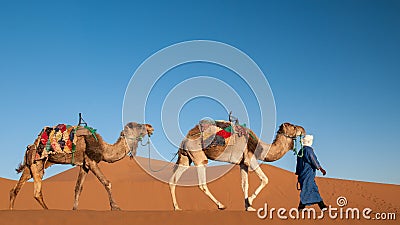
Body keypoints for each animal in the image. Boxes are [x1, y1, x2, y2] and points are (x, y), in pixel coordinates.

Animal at [9, 122, 154, 210]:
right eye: (139, 126)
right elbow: (107, 182)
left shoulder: (84, 165)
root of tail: (30, 146)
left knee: (15, 189)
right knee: (37, 192)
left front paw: (74, 209)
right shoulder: (91, 161)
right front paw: (115, 207)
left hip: (30, 166)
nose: (150, 127)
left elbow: (78, 188)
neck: (103, 148)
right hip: (38, 163)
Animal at [168, 121, 304, 211]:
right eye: (293, 126)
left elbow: (245, 185)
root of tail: (185, 140)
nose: (303, 129)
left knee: (173, 179)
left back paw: (177, 207)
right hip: (199, 156)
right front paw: (250, 201)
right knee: (202, 183)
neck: (258, 146)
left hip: (186, 158)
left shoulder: (243, 163)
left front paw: (248, 207)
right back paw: (221, 205)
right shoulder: (251, 159)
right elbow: (265, 179)